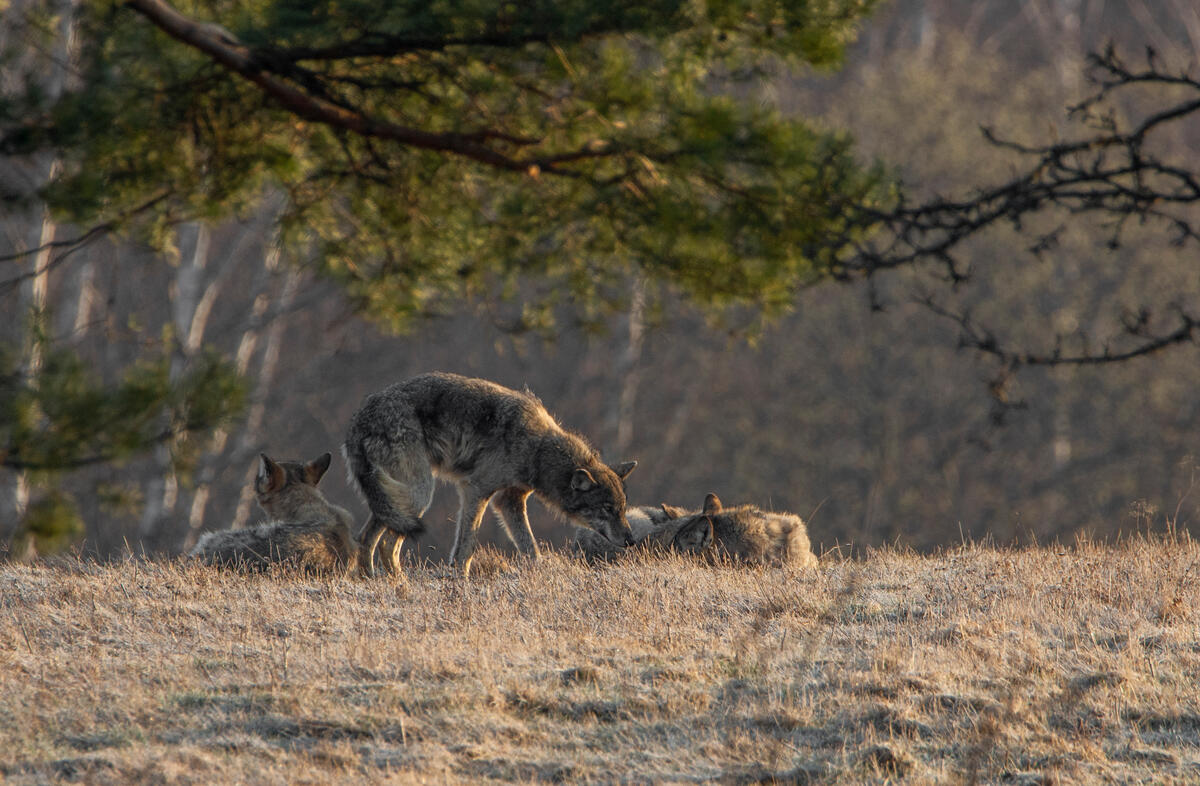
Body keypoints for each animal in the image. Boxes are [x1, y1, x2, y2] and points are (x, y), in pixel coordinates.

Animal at [343, 372, 637, 577]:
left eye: (623, 509)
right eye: (607, 509)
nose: (631, 540)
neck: (538, 449)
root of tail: (358, 420)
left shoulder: (508, 501)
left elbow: (529, 547)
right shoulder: (476, 491)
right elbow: (467, 544)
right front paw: (459, 579)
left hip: (398, 500)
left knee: (366, 539)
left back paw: (375, 581)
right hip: (420, 494)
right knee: (386, 543)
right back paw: (400, 583)